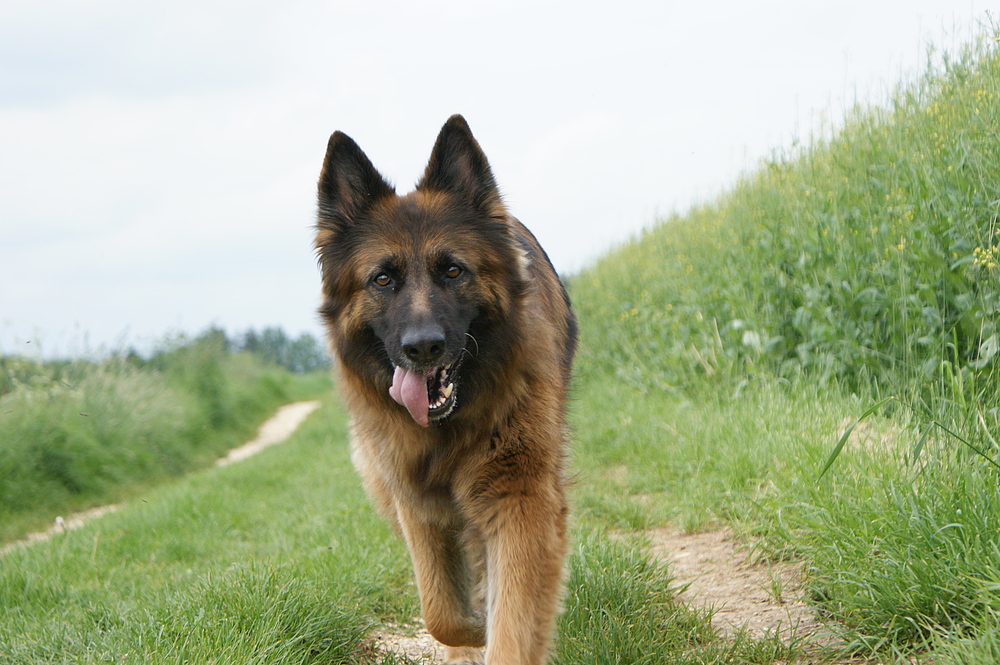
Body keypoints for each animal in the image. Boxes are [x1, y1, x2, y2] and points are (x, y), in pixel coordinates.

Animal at [312, 115, 580, 664]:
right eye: (383, 279)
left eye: (452, 270)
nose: (423, 348)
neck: (448, 427)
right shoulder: (414, 497)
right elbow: (440, 612)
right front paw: (472, 628)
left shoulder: (519, 495)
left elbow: (510, 619)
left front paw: (492, 623)